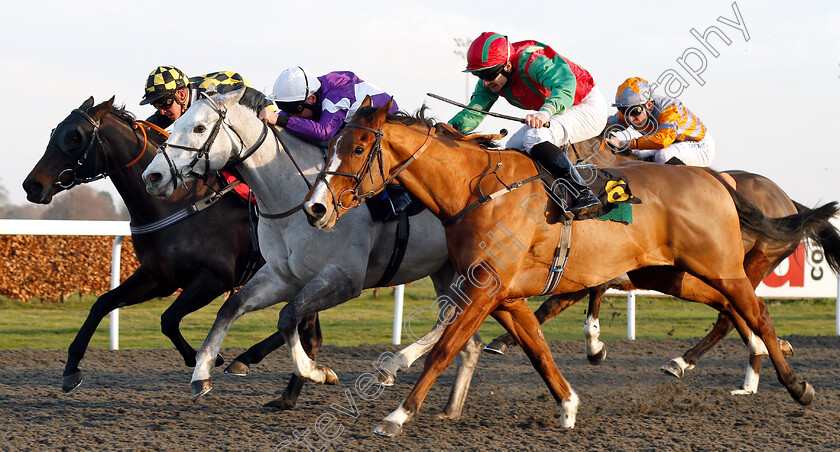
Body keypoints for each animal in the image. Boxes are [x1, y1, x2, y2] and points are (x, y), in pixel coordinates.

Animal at [22, 98, 324, 402]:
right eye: (54, 132)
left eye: (75, 137)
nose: (32, 185)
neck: (176, 204)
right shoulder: (158, 278)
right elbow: (102, 303)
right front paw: (71, 369)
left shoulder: (215, 278)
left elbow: (168, 319)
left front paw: (206, 359)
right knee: (308, 331)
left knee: (305, 331)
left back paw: (258, 367)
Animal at [140, 84, 482, 410]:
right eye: (175, 124)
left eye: (199, 127)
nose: (152, 176)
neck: (292, 199)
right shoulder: (284, 276)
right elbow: (231, 307)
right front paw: (202, 374)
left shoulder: (345, 278)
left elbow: (288, 317)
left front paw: (317, 372)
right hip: (443, 270)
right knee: (468, 340)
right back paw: (450, 408)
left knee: (450, 322)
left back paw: (394, 368)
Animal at [304, 99, 832, 434]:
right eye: (330, 148)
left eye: (356, 149)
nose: (315, 208)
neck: (477, 190)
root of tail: (715, 178)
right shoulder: (504, 295)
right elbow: (537, 349)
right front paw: (569, 405)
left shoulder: (484, 290)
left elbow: (445, 349)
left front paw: (397, 415)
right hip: (670, 274)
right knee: (731, 308)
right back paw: (729, 363)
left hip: (721, 265)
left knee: (755, 311)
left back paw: (797, 386)